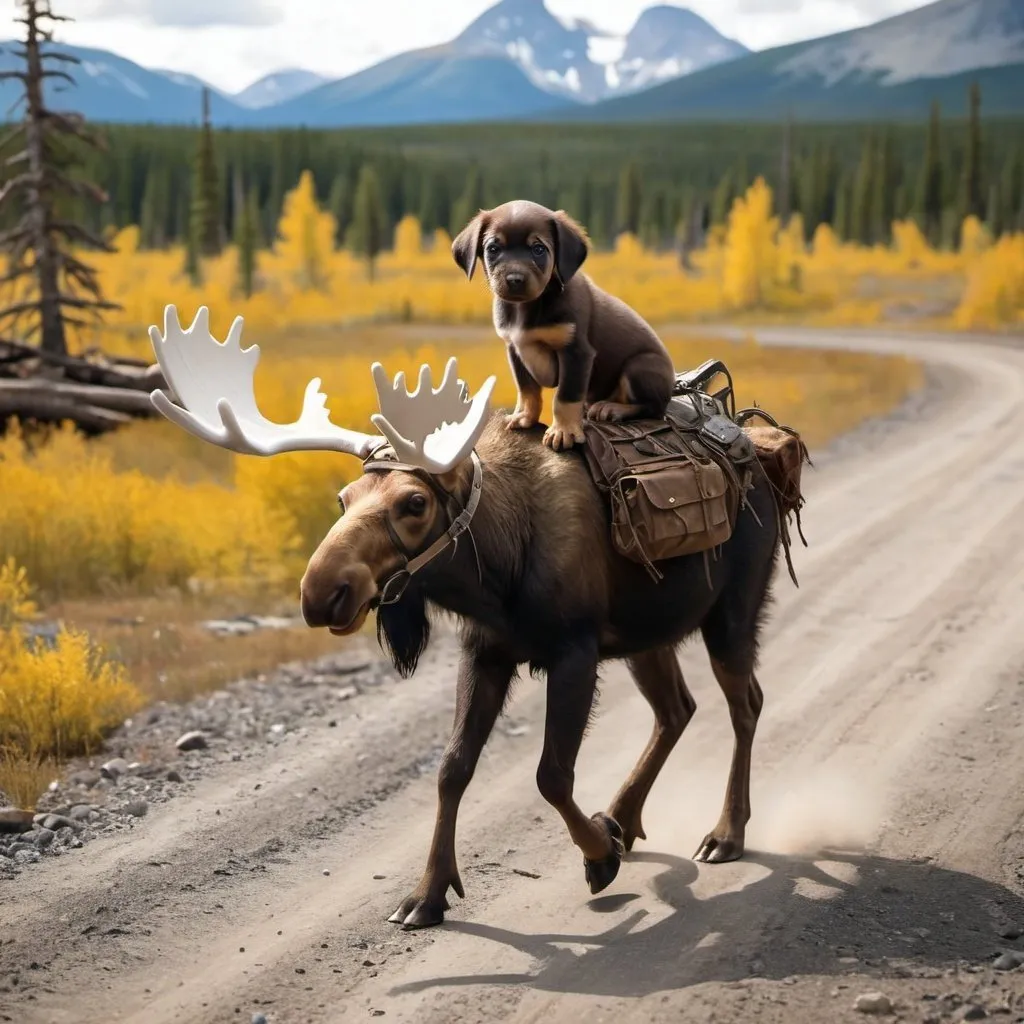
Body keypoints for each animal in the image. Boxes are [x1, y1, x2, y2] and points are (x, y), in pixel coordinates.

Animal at [146, 303, 782, 929]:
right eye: (343, 499)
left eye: (414, 502)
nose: (320, 591)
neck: (497, 573)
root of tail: (767, 456)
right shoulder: (485, 651)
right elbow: (452, 768)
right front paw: (427, 893)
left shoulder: (574, 651)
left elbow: (551, 774)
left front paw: (598, 855)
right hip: (645, 633)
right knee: (678, 709)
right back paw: (624, 816)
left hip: (732, 611)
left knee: (745, 703)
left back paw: (724, 832)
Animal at [452, 199, 675, 452]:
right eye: (493, 249)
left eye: (538, 249)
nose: (515, 280)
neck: (526, 308)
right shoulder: (515, 350)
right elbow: (527, 391)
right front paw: (525, 417)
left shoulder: (576, 352)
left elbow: (565, 398)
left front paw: (563, 431)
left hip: (640, 365)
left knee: (654, 408)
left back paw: (613, 407)